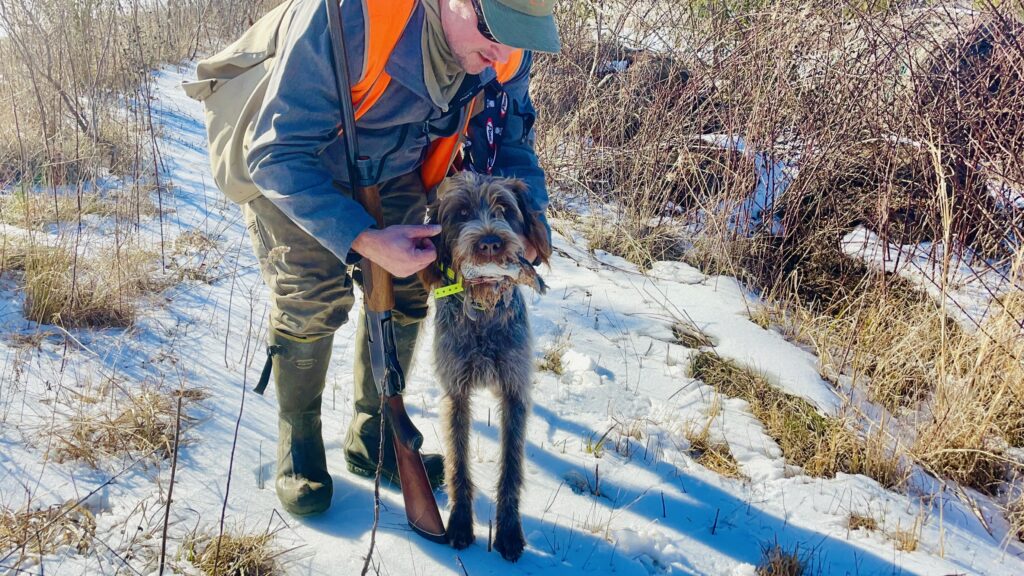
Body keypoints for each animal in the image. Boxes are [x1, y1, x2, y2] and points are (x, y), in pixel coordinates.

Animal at [417, 170, 552, 561]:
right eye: (461, 213)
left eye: (504, 209)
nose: (490, 244)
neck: (484, 315)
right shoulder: (455, 393)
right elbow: (458, 463)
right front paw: (461, 523)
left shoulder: (515, 392)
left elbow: (511, 466)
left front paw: (508, 531)